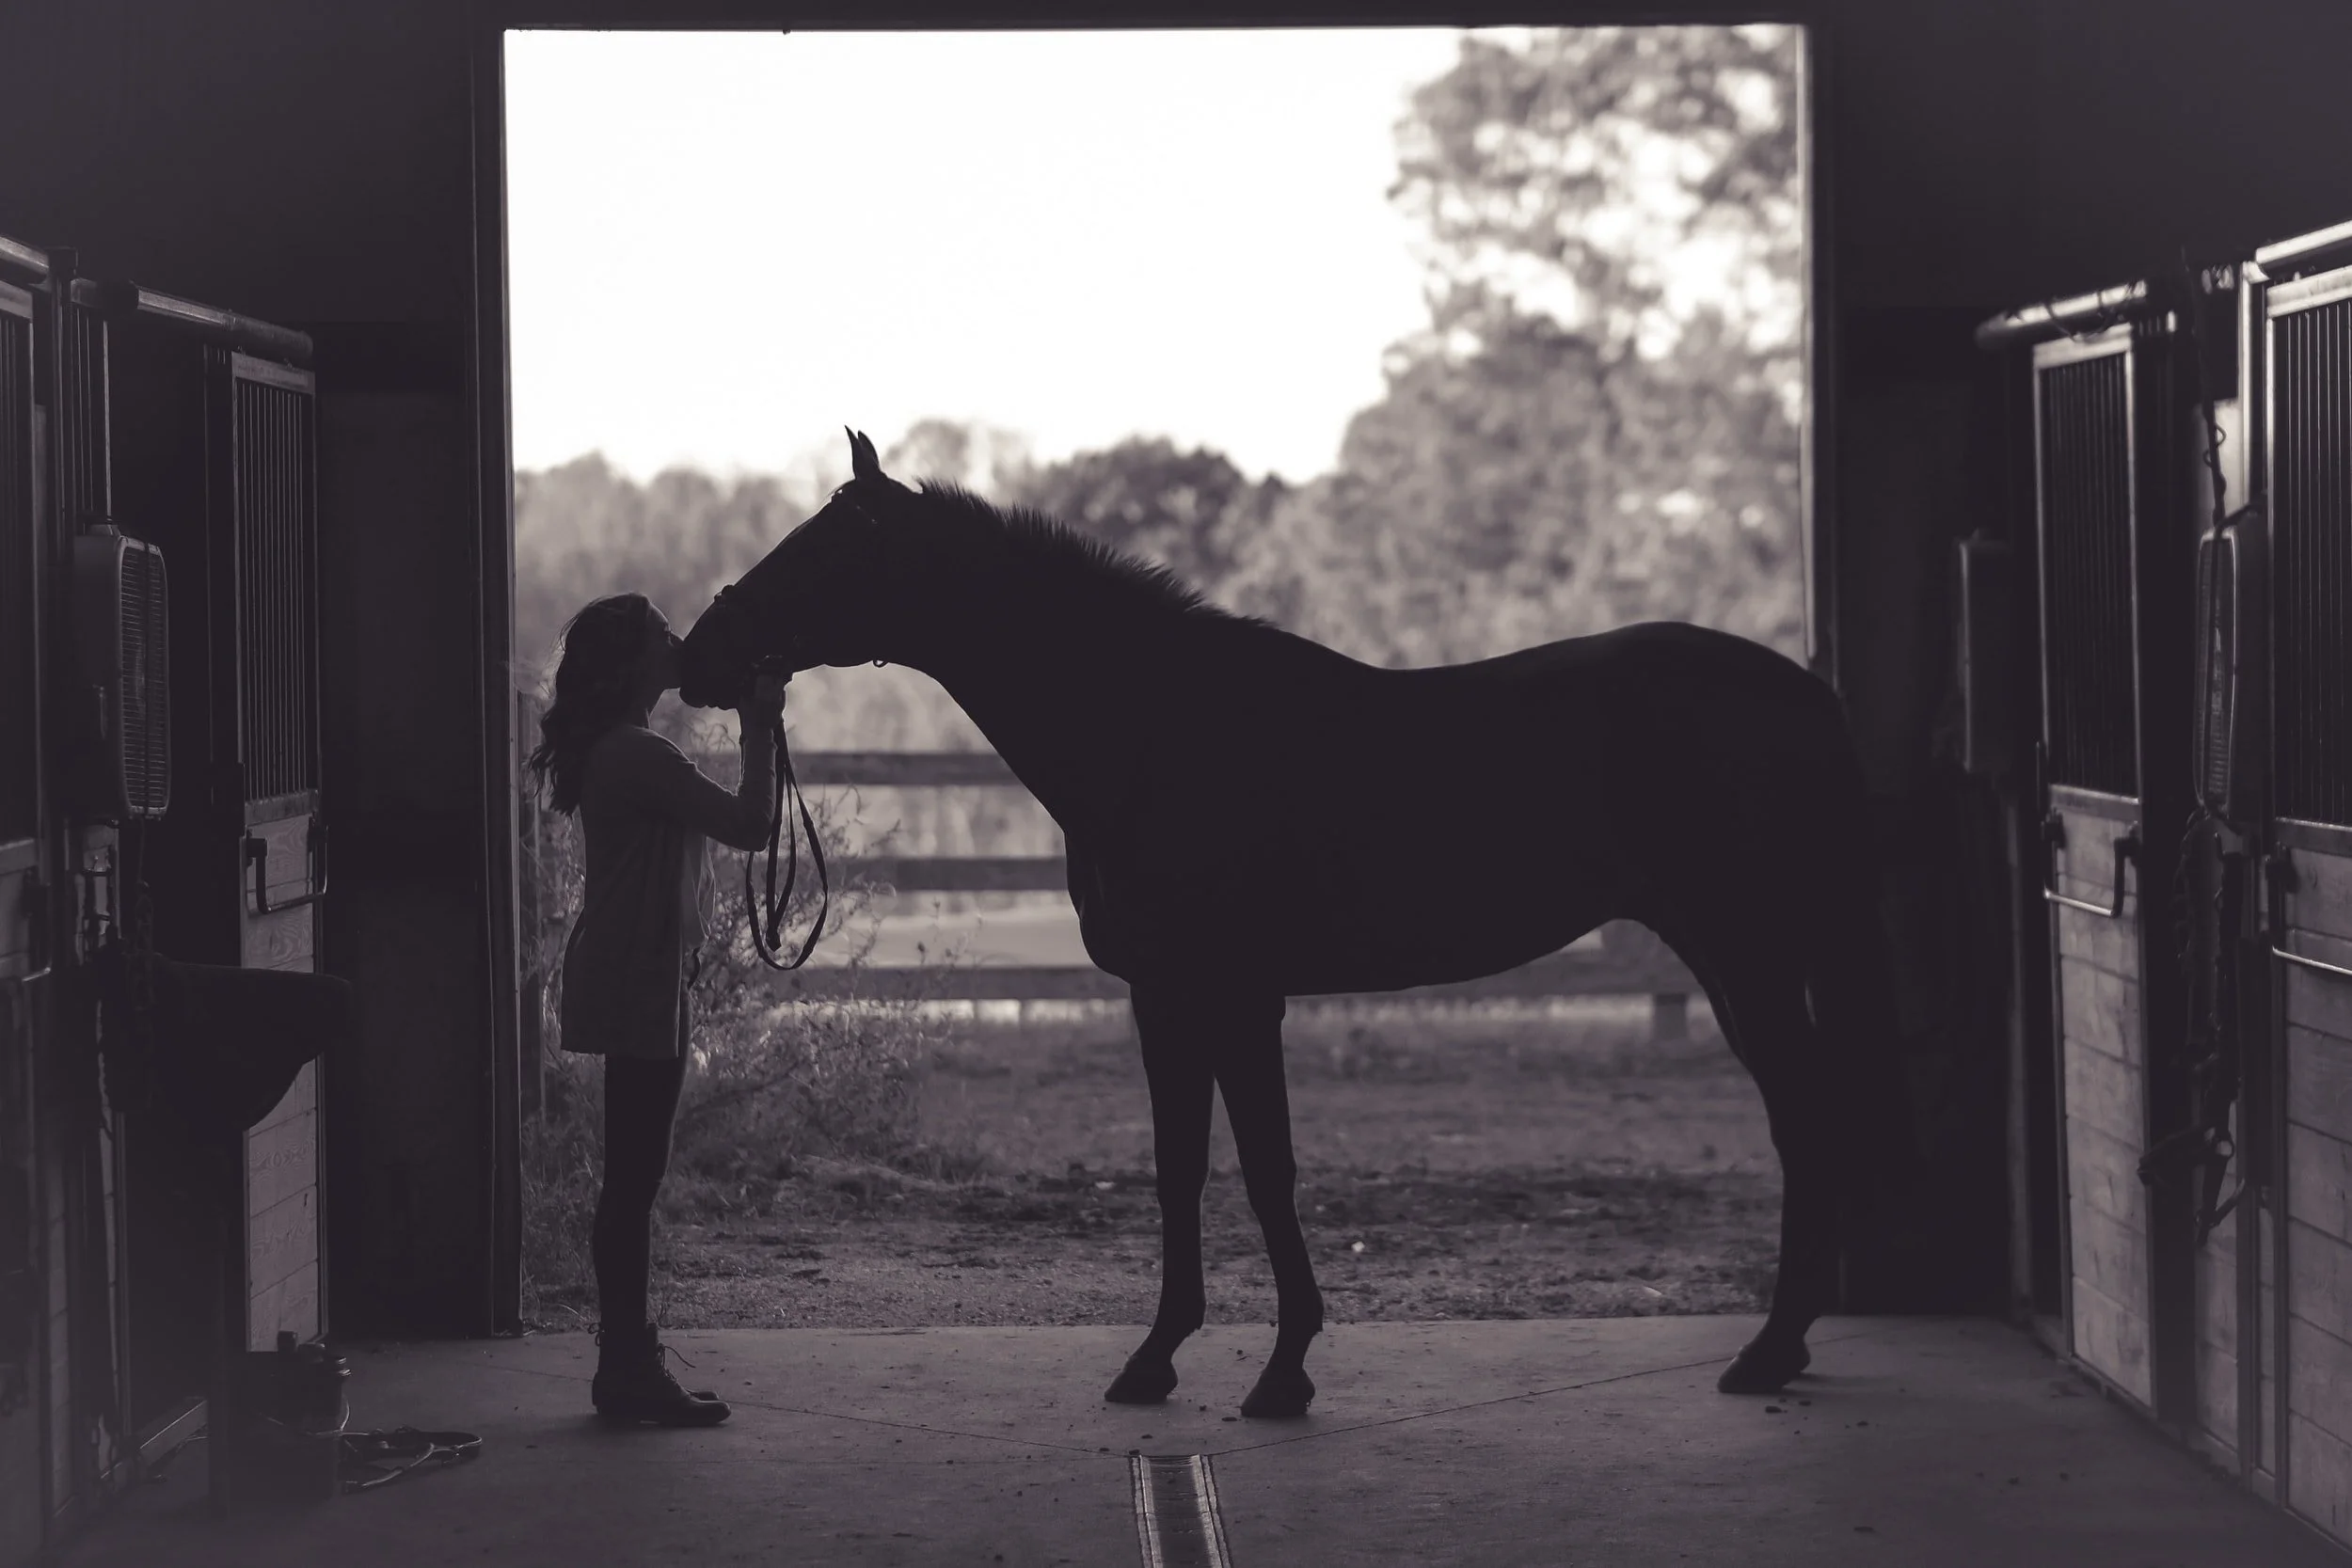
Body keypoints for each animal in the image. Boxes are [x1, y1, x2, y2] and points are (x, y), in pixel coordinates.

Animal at [679, 428, 1908, 1419]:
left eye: (820, 550)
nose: (698, 655)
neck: (1155, 730)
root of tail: (1803, 691)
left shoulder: (1236, 993)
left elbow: (1266, 1168)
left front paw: (1282, 1371)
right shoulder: (1163, 995)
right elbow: (1180, 1167)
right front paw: (1156, 1359)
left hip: (1746, 953)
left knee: (1806, 1119)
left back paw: (1768, 1350)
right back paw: (1782, 1346)